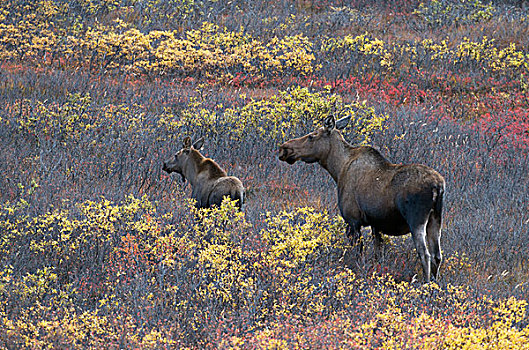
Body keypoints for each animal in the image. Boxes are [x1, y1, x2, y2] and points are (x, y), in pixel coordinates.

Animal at [278, 115, 444, 282]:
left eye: (312, 136)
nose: (284, 148)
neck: (337, 169)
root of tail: (438, 186)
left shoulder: (353, 220)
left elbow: (358, 256)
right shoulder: (376, 224)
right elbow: (378, 255)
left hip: (417, 221)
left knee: (425, 254)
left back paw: (425, 284)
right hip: (435, 219)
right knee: (437, 255)